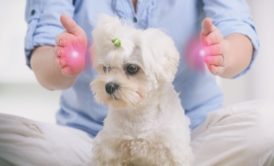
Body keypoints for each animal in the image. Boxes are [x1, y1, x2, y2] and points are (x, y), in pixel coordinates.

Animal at [90, 15, 193, 166]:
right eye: (106, 68)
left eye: (132, 68)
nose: (109, 86)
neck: (138, 113)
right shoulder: (109, 150)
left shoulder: (173, 152)